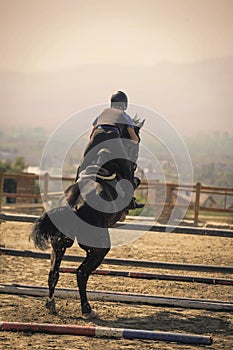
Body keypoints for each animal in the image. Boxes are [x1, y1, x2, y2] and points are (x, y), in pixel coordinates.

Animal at [30, 118, 145, 320]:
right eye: (136, 140)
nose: (135, 162)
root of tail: (73, 207)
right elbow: (136, 181)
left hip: (59, 244)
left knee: (54, 273)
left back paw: (51, 304)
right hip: (99, 249)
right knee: (81, 272)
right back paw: (87, 310)